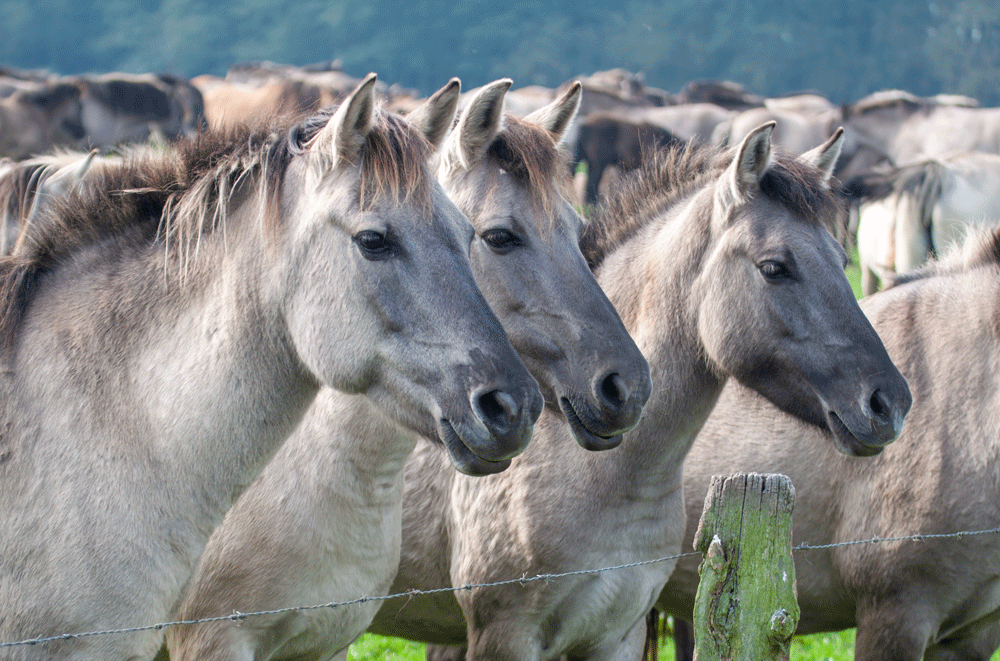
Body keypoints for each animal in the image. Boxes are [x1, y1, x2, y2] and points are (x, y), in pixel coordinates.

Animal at [372, 125, 912, 660]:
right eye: (775, 267)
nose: (889, 403)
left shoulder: (618, 634)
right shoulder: (506, 636)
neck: (604, 479)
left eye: (842, 259)